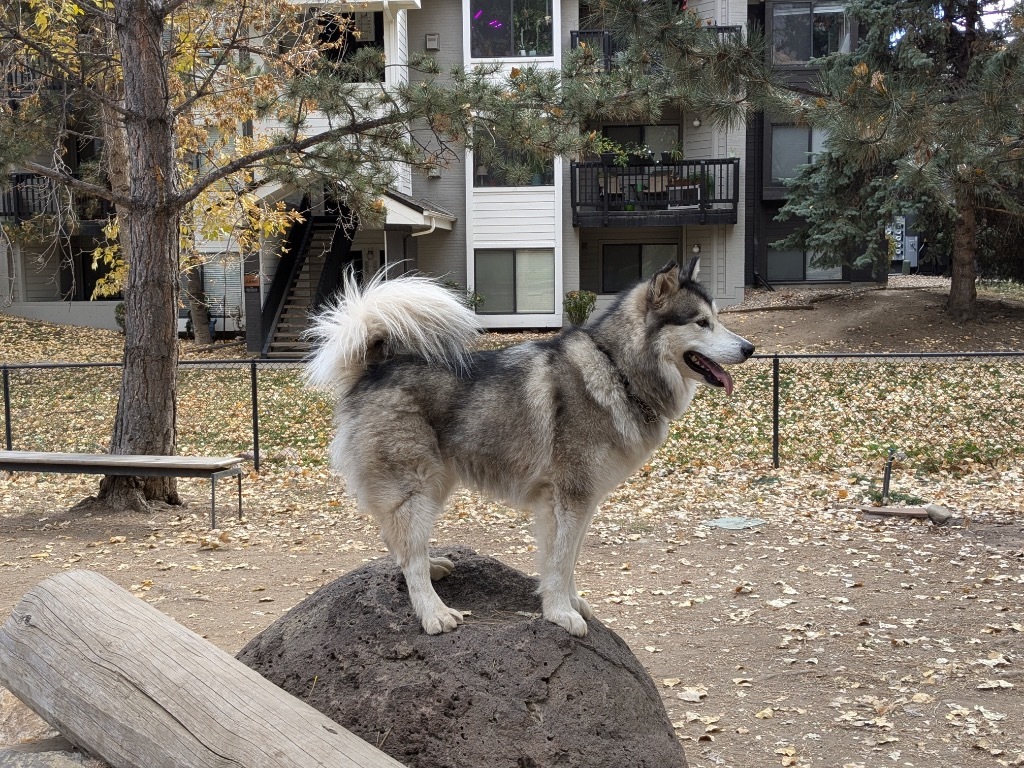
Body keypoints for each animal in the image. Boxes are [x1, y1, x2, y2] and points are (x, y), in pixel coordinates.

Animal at [303, 259, 753, 638]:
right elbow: (560, 560)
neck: (617, 369)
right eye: (702, 322)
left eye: (717, 318)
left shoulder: (576, 502)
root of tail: (374, 367)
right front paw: (559, 613)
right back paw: (433, 612)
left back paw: (432, 568)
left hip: (433, 487)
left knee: (398, 542)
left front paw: (570, 602)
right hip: (416, 488)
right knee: (409, 556)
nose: (749, 348)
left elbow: (565, 560)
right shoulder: (570, 498)